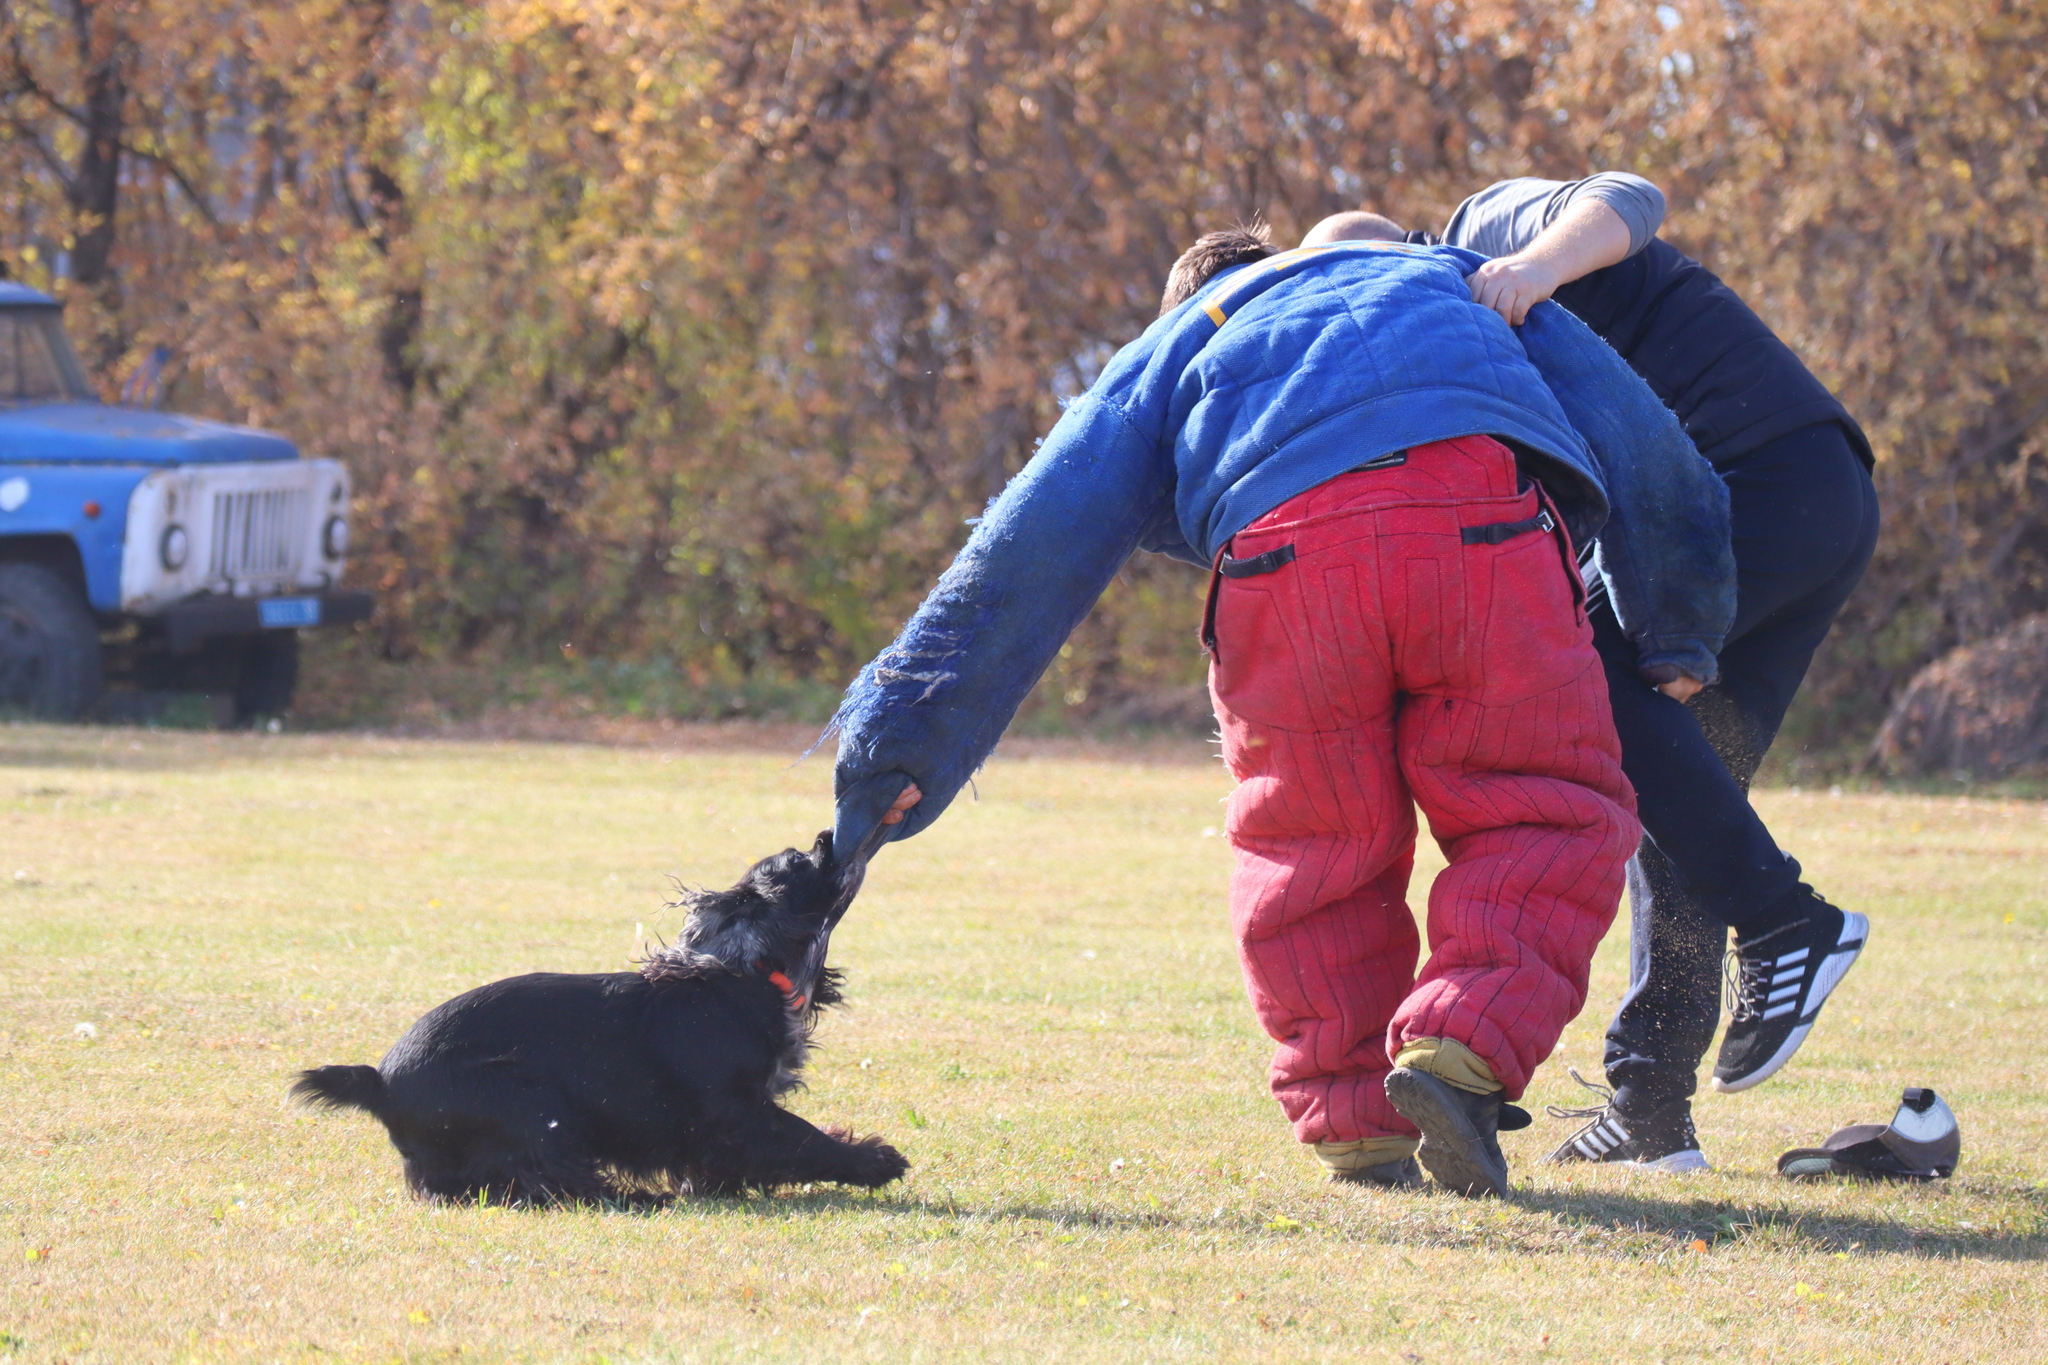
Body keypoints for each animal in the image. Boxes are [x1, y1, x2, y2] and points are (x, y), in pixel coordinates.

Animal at [288, 826, 905, 1203]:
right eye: (800, 861)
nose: (828, 835)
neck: (743, 971)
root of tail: (380, 1082)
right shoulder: (733, 1110)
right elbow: (797, 1138)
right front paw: (872, 1159)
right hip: (530, 1104)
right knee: (555, 1184)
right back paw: (643, 1199)